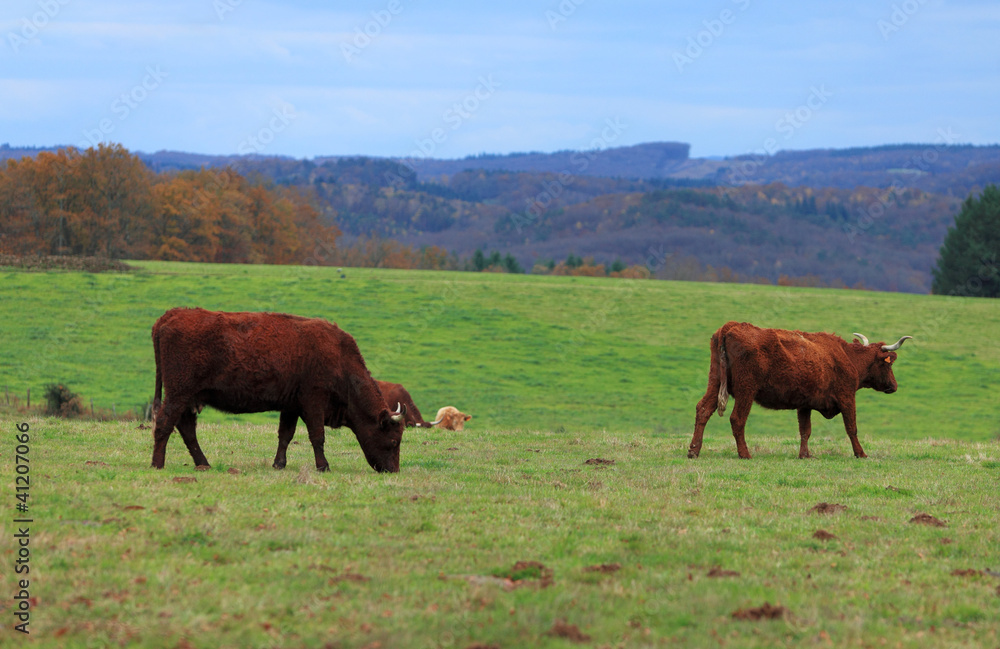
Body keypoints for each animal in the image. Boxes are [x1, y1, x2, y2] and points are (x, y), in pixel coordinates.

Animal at [149, 308, 406, 470]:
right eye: (394, 441)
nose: (392, 470)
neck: (339, 358)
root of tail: (170, 315)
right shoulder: (313, 402)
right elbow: (317, 436)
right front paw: (323, 466)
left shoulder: (291, 405)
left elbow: (285, 435)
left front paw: (279, 464)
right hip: (178, 394)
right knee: (165, 423)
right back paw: (157, 464)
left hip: (189, 398)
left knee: (186, 428)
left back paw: (203, 463)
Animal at [688, 322, 916, 458]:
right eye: (888, 364)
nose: (894, 386)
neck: (846, 356)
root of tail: (731, 326)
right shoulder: (847, 396)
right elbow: (852, 427)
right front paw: (861, 454)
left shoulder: (805, 404)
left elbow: (805, 430)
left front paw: (804, 455)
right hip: (746, 390)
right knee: (737, 419)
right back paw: (745, 454)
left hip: (715, 382)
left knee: (703, 410)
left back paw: (693, 451)